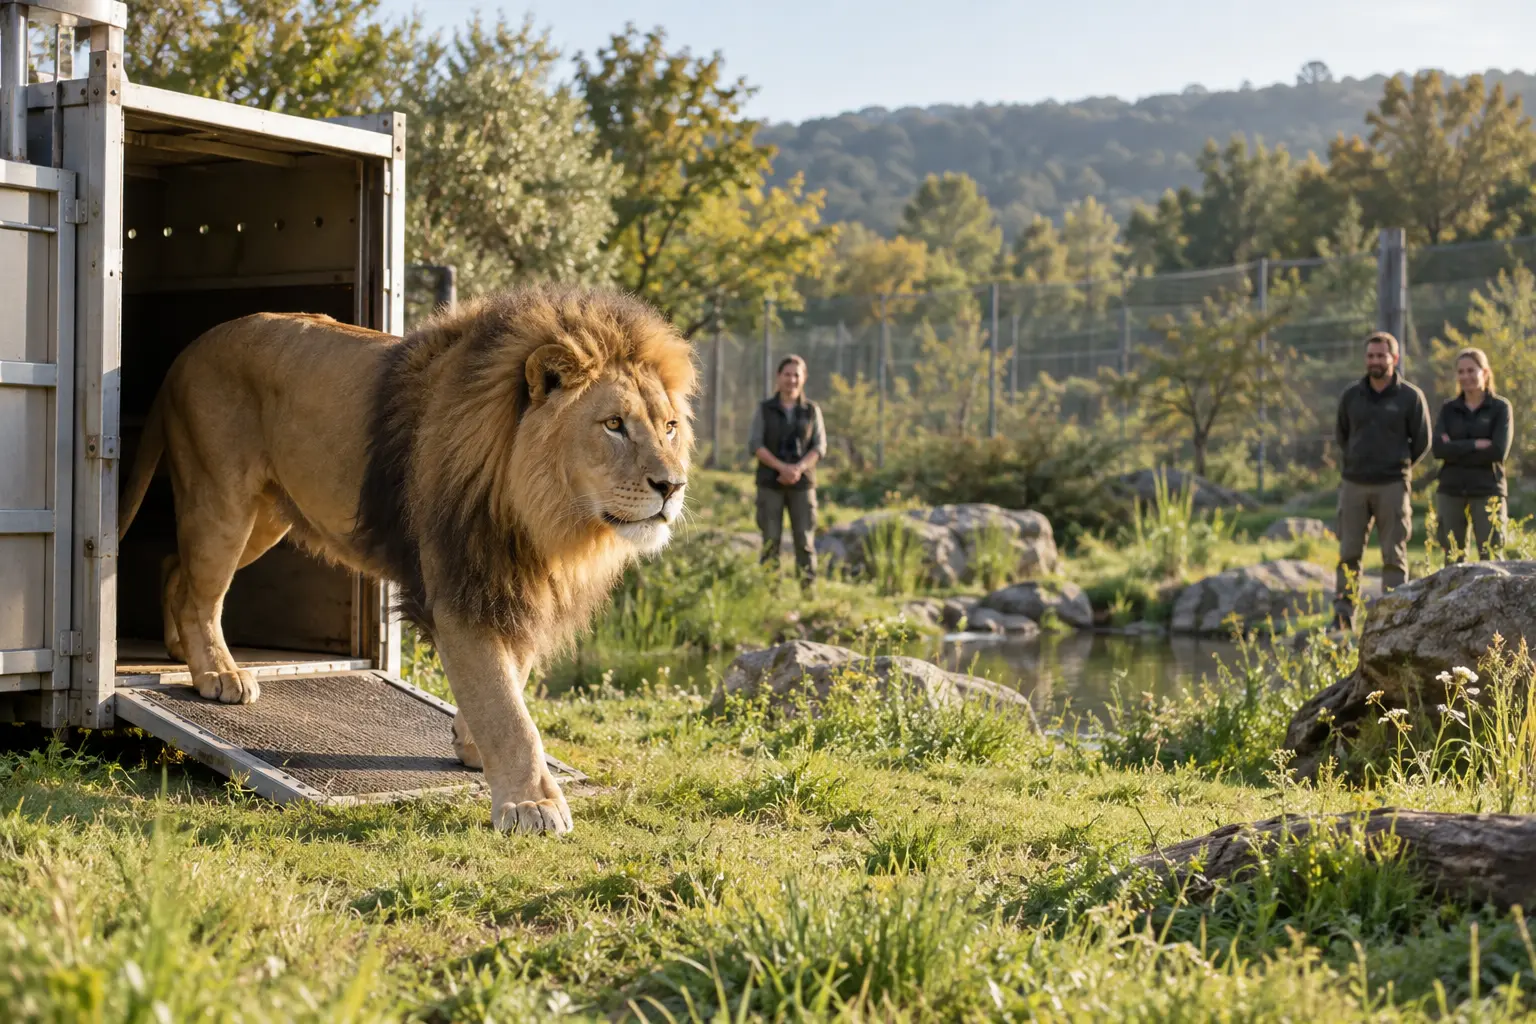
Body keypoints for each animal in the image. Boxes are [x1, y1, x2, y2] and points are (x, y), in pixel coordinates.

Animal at [117, 285, 696, 835]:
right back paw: (219, 672)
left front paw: (471, 742)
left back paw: (181, 652)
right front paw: (533, 804)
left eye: (669, 427)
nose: (672, 486)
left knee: (177, 570)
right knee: (203, 591)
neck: (544, 516)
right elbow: (509, 711)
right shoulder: (457, 587)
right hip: (222, 500)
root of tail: (188, 352)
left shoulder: (519, 586)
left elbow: (511, 677)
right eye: (614, 424)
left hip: (265, 519)